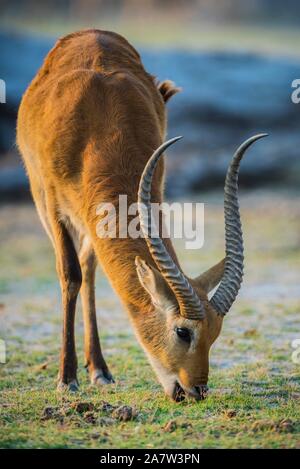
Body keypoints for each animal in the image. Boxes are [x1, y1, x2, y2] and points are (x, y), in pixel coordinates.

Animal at [17, 29, 268, 400]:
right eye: (183, 332)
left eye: (216, 333)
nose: (195, 391)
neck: (99, 127)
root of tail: (90, 33)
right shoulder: (50, 201)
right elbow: (69, 274)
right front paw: (66, 378)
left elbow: (86, 270)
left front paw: (90, 372)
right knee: (79, 270)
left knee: (90, 266)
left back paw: (100, 370)